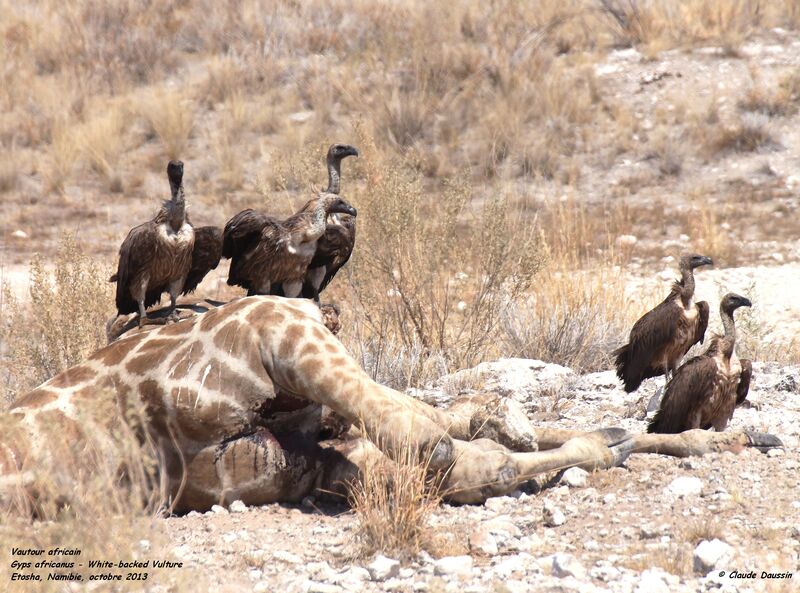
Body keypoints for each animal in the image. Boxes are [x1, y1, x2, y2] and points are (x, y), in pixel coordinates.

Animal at [1, 298, 780, 512]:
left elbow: (439, 434)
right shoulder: (289, 460)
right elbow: (453, 454)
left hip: (287, 334)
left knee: (444, 426)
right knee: (460, 444)